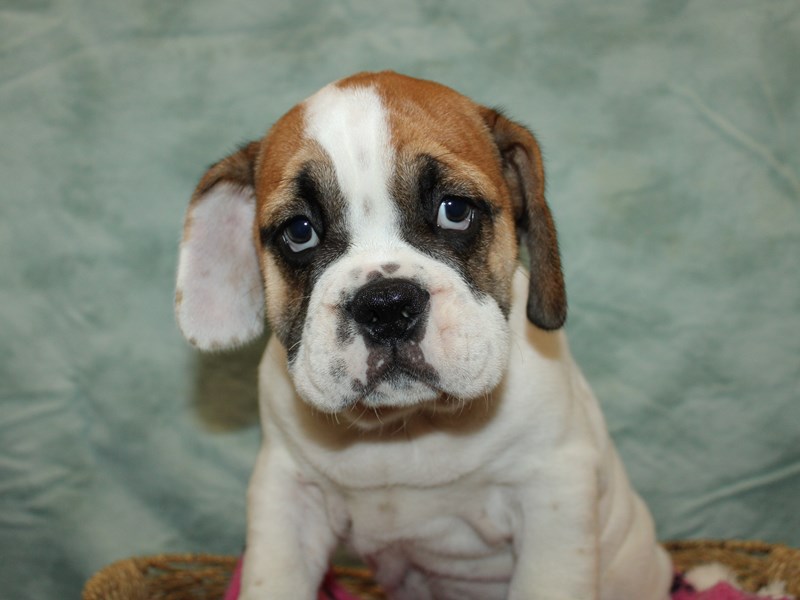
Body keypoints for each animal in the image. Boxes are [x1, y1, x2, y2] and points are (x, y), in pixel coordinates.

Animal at [177, 71, 676, 600]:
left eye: (454, 210)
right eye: (299, 231)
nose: (385, 305)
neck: (409, 424)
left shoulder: (553, 494)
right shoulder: (287, 496)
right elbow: (272, 579)